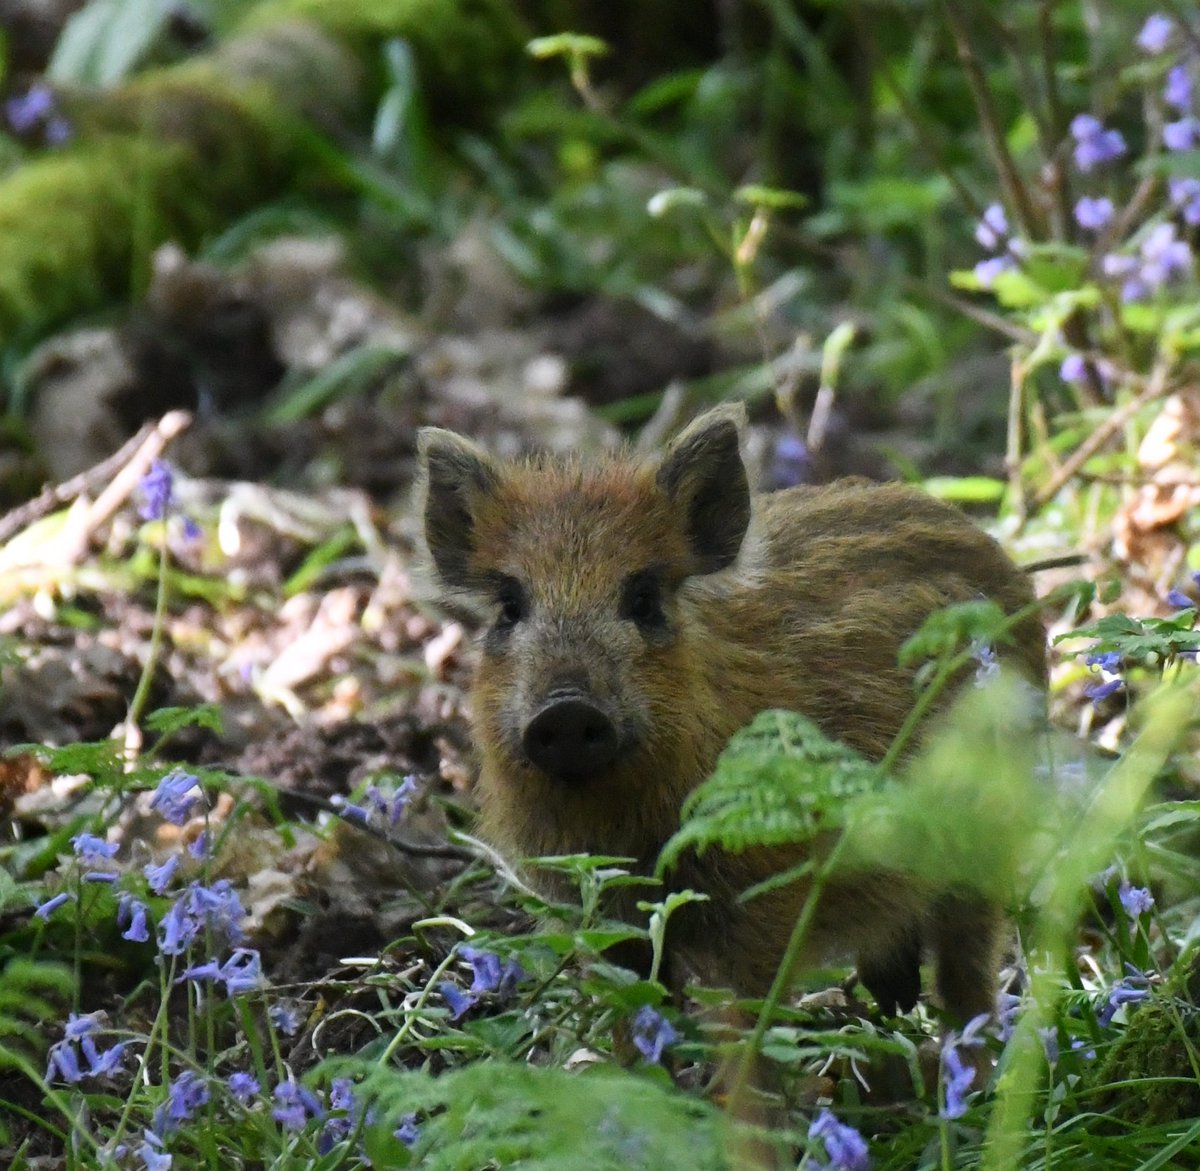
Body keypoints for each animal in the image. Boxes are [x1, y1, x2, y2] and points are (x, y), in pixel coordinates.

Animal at [417, 404, 1046, 1022]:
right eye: (509, 606)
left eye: (643, 599)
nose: (566, 711)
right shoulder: (604, 911)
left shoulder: (767, 892)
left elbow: (749, 1016)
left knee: (969, 976)